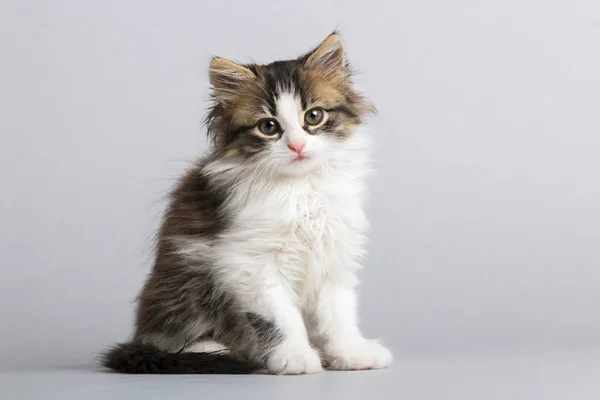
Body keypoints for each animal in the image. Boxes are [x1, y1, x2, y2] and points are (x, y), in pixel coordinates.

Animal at [102, 32, 394, 376]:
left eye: (313, 116)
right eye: (268, 127)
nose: (297, 146)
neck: (302, 188)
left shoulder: (334, 254)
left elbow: (338, 313)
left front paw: (349, 352)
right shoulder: (249, 262)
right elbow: (280, 318)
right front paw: (295, 357)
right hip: (190, 280)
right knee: (174, 340)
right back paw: (216, 351)